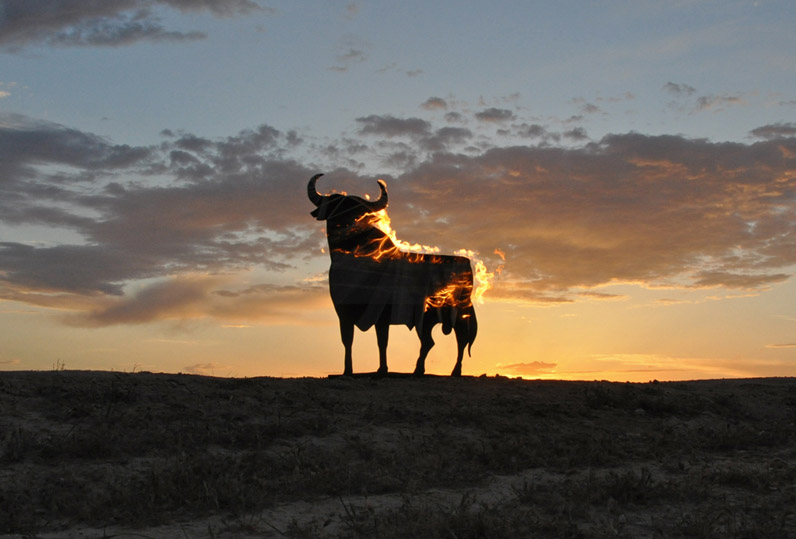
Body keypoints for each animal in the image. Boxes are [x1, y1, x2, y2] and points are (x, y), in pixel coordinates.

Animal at [308, 173, 477, 377]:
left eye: (358, 212)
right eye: (335, 207)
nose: (347, 227)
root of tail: (466, 264)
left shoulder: (381, 313)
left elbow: (382, 342)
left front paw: (382, 369)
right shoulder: (345, 313)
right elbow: (348, 341)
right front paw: (348, 370)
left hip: (454, 313)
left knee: (458, 339)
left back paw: (448, 371)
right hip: (430, 319)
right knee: (432, 342)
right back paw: (422, 370)